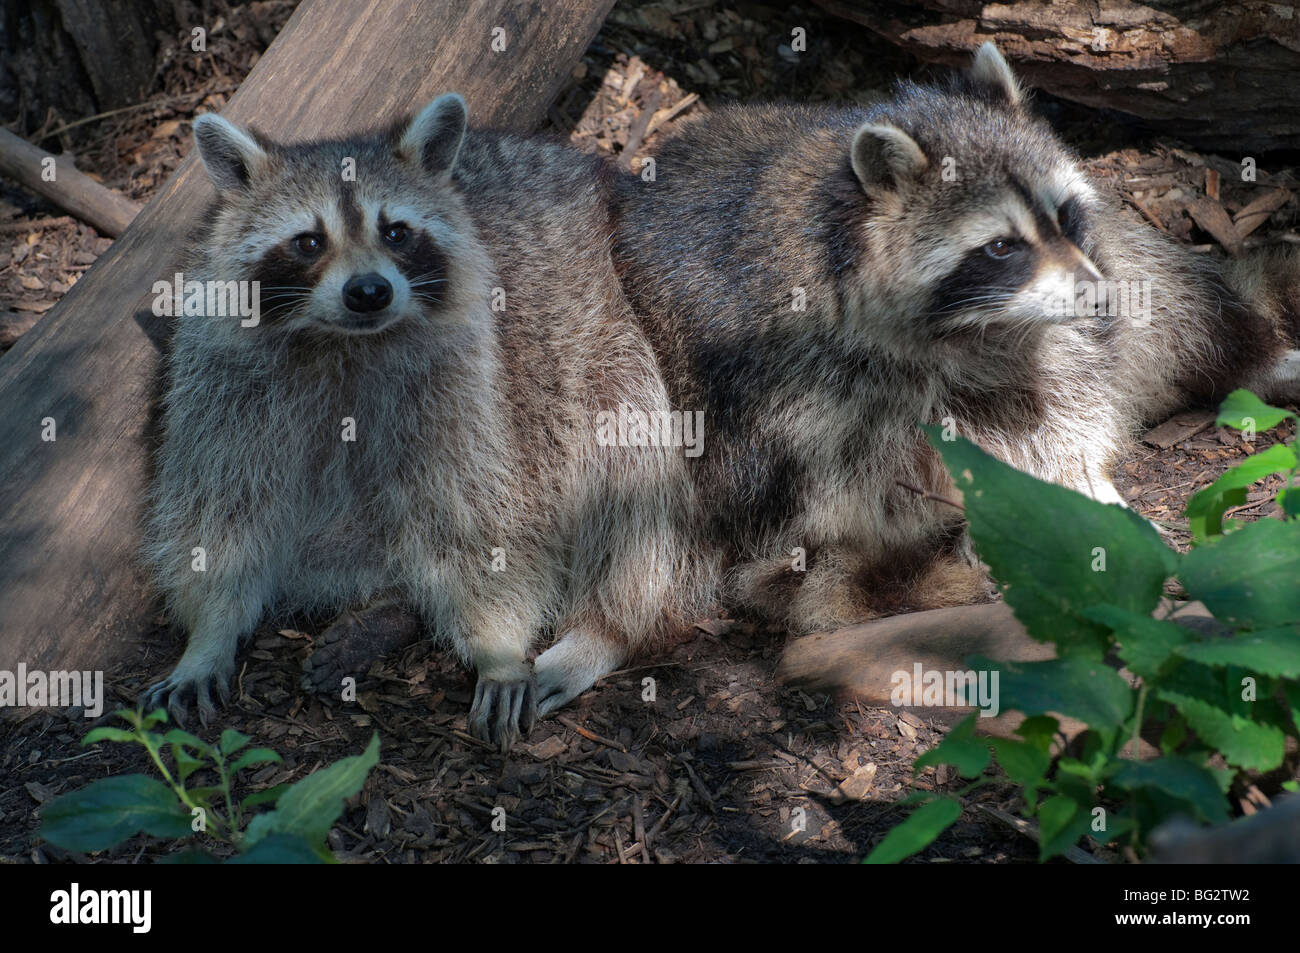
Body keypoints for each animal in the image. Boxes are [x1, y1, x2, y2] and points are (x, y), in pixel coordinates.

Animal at [142, 95, 710, 749]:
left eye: (396, 232)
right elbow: (220, 516)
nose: (369, 291)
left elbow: (484, 519)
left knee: (628, 468)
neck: (345, 344)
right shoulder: (224, 393)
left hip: (613, 344)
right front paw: (207, 634)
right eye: (308, 241)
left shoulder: (474, 394)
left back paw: (604, 630)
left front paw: (498, 646)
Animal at [612, 45, 1300, 635]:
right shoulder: (792, 373)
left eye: (1063, 214)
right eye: (1000, 246)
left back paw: (1251, 356)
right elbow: (847, 482)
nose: (1099, 298)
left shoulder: (1063, 303)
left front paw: (1077, 473)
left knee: (1167, 300)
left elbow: (1069, 389)